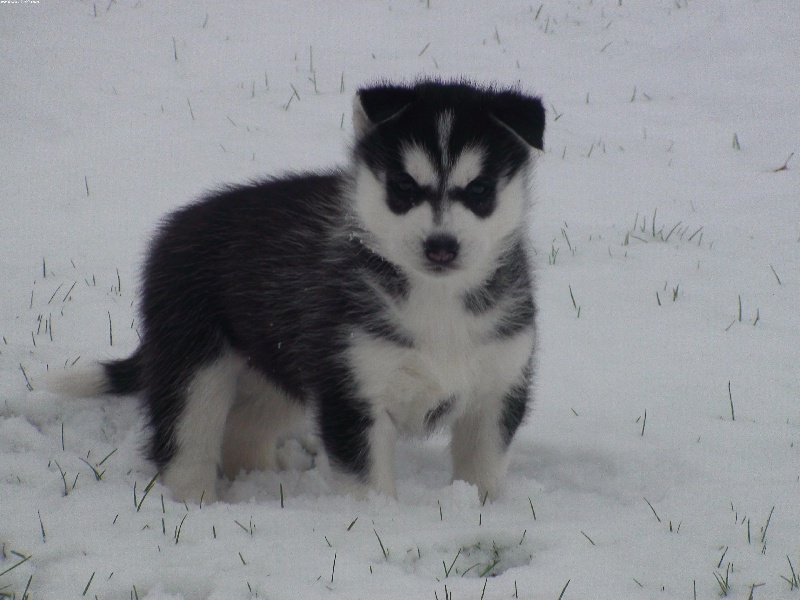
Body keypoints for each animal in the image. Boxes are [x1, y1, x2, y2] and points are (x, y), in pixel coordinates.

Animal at [54, 80, 545, 504]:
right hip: (196, 362)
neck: (438, 299)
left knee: (243, 432)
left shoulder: (498, 388)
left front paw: (480, 507)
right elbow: (367, 482)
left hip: (280, 367)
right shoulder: (351, 391)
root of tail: (176, 225)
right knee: (186, 441)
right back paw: (197, 503)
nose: (441, 246)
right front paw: (380, 521)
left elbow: (482, 468)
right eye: (403, 187)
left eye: (480, 190)